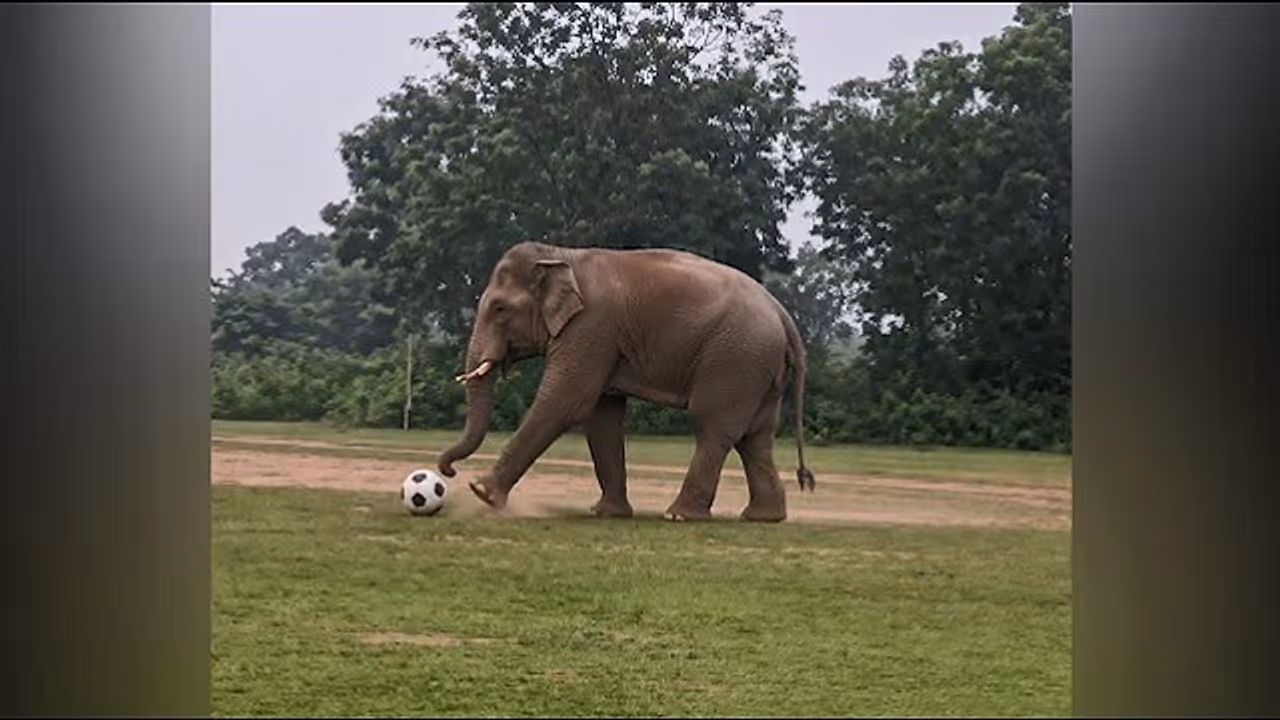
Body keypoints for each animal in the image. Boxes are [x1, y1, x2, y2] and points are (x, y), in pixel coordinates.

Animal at [436, 240, 816, 523]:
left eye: (500, 309)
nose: (449, 473)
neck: (562, 254)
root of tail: (782, 314)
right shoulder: (602, 339)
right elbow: (602, 415)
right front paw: (606, 513)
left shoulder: (590, 328)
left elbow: (568, 401)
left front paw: (482, 493)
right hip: (759, 367)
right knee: (755, 437)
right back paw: (762, 517)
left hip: (735, 359)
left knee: (713, 427)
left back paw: (679, 516)